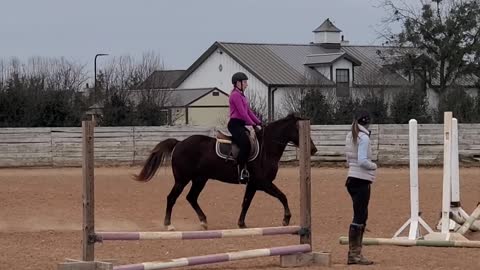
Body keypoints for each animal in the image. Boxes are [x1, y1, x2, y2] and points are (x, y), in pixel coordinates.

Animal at [133, 113, 316, 230]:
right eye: (299, 130)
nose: (313, 150)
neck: (267, 148)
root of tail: (179, 143)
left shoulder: (253, 184)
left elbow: (246, 202)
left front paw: (241, 223)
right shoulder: (263, 183)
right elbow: (282, 196)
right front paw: (286, 219)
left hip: (200, 179)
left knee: (191, 197)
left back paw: (203, 221)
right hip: (182, 179)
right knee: (172, 197)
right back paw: (169, 224)